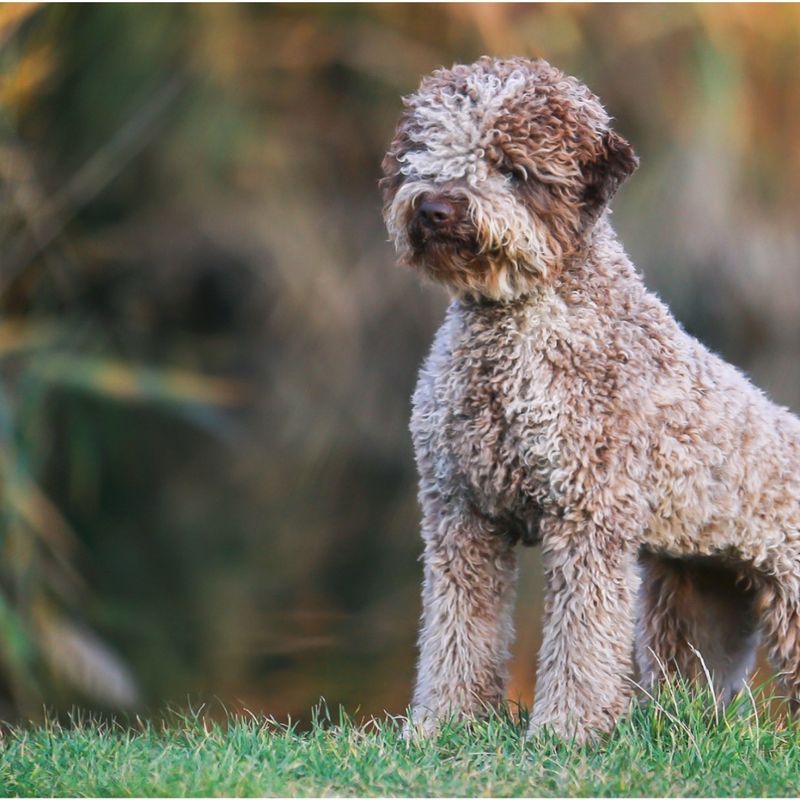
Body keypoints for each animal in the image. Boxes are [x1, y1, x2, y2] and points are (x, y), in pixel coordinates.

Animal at [380, 57, 800, 744]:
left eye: (512, 168)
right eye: (425, 152)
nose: (436, 208)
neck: (515, 330)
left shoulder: (588, 515)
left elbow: (583, 637)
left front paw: (566, 731)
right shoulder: (460, 513)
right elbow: (456, 630)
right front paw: (444, 724)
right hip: (699, 594)